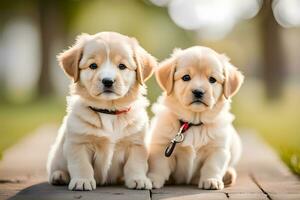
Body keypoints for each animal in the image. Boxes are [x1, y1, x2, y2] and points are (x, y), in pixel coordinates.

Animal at [47, 31, 157, 191]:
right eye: (93, 65)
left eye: (122, 66)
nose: (108, 81)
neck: (109, 111)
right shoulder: (78, 143)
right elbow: (82, 165)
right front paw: (82, 181)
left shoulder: (136, 143)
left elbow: (135, 163)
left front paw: (138, 179)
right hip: (57, 155)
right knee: (56, 167)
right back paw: (59, 175)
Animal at [148, 46, 244, 190]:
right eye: (186, 77)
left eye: (212, 79)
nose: (198, 92)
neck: (193, 122)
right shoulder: (162, 146)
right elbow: (159, 165)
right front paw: (153, 179)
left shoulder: (218, 149)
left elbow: (212, 166)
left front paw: (211, 180)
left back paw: (228, 175)